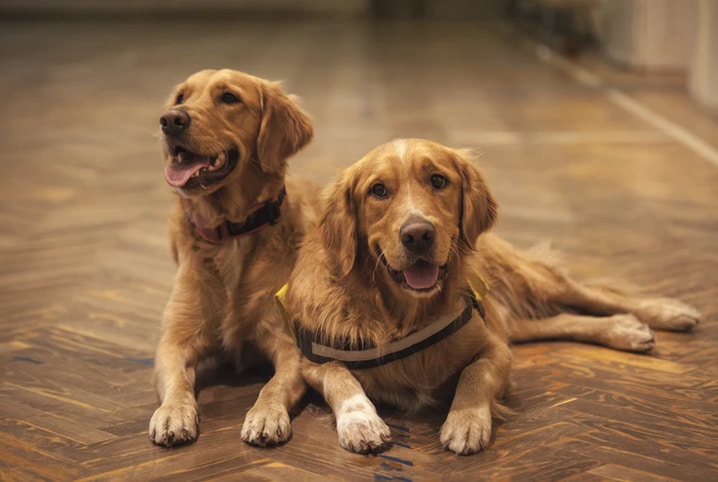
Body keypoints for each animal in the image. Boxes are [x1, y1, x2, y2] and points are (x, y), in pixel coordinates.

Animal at [149, 68, 318, 448]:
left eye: (229, 98)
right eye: (181, 97)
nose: (170, 120)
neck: (231, 233)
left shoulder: (290, 346)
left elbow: (273, 385)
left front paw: (266, 415)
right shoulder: (173, 342)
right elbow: (177, 381)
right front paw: (172, 413)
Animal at [284, 137, 700, 454]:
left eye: (438, 180)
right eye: (378, 190)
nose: (418, 234)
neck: (403, 315)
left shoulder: (496, 349)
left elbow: (475, 371)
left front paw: (465, 421)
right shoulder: (313, 360)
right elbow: (340, 378)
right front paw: (361, 421)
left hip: (526, 278)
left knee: (590, 294)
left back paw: (661, 313)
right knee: (562, 318)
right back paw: (626, 329)